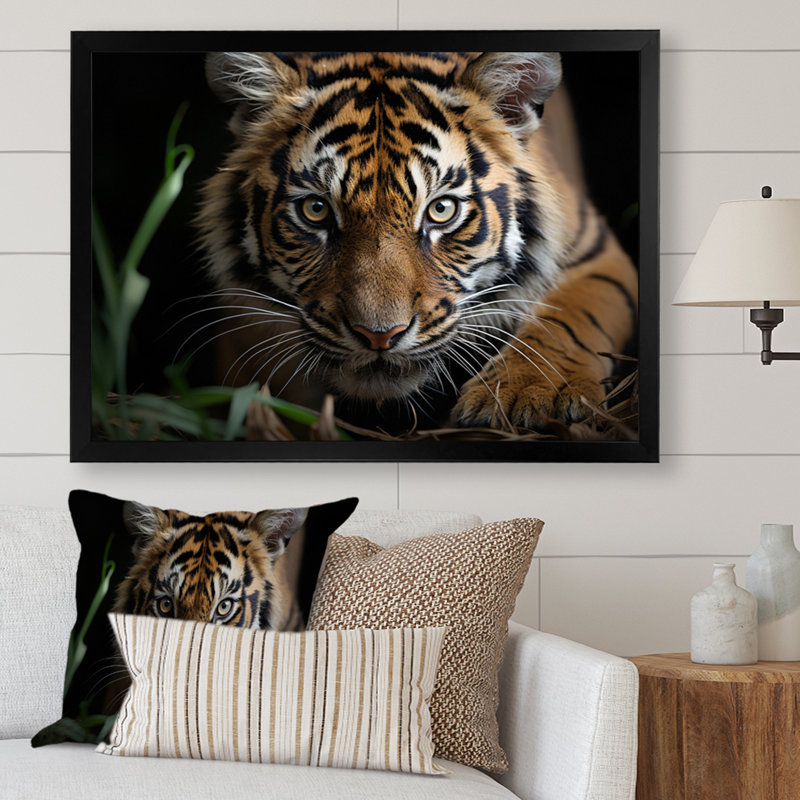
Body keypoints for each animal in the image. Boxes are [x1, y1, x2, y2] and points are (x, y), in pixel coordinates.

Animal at [196, 51, 638, 435]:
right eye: (316, 210)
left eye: (441, 209)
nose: (379, 336)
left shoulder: (595, 251)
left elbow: (568, 319)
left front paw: (530, 392)